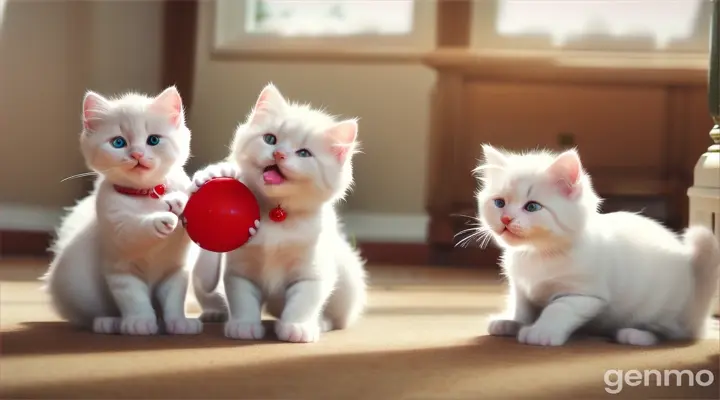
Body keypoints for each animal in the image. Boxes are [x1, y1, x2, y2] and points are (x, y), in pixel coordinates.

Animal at [43, 86, 201, 336]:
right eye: (118, 142)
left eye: (153, 140)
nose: (137, 154)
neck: (145, 194)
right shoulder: (120, 263)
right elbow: (134, 296)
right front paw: (140, 322)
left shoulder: (177, 270)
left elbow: (174, 298)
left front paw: (178, 322)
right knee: (87, 315)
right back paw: (109, 322)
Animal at [190, 83, 366, 342]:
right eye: (270, 139)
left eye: (304, 153)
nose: (279, 154)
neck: (276, 215)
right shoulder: (240, 272)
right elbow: (243, 300)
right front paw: (244, 326)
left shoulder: (312, 273)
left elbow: (303, 302)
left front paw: (296, 328)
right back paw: (215, 313)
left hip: (349, 279)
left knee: (339, 317)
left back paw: (321, 323)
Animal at [478, 145, 720, 346]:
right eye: (499, 203)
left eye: (532, 207)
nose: (506, 219)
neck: (536, 253)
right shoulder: (521, 288)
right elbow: (522, 307)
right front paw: (511, 321)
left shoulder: (584, 295)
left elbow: (557, 309)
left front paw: (541, 332)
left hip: (660, 308)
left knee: (672, 333)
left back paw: (634, 335)